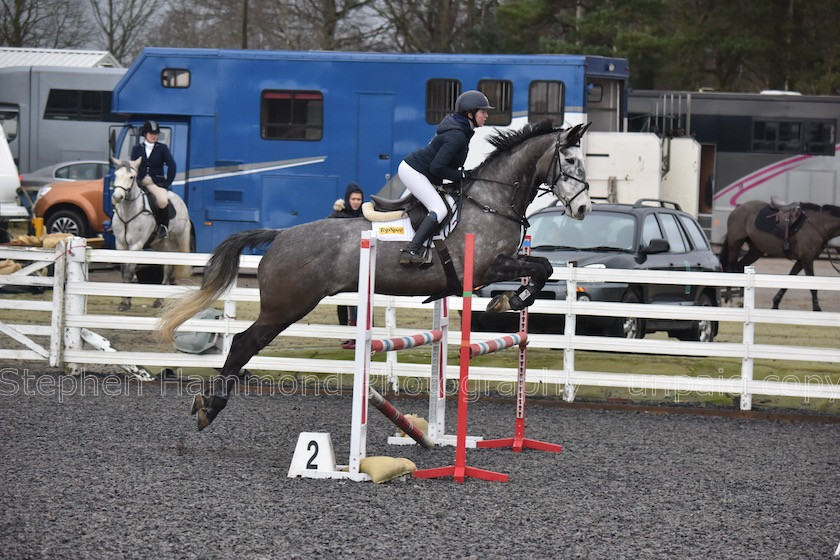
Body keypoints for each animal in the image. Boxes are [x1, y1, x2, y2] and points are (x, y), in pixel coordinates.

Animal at [109, 155, 191, 310]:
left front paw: (124, 303)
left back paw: (160, 301)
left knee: (167, 270)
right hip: (160, 245)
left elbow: (129, 272)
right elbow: (123, 271)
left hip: (172, 244)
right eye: (116, 175)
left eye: (131, 177)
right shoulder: (120, 244)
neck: (129, 211)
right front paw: (126, 299)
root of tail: (180, 201)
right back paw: (158, 299)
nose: (117, 197)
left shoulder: (136, 245)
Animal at [156, 120, 592, 430]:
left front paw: (512, 299)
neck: (492, 200)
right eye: (571, 161)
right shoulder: (488, 265)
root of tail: (279, 236)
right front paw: (511, 298)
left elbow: (543, 267)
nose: (584, 209)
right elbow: (541, 268)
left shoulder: (501, 263)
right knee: (244, 343)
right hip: (286, 306)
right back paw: (210, 407)